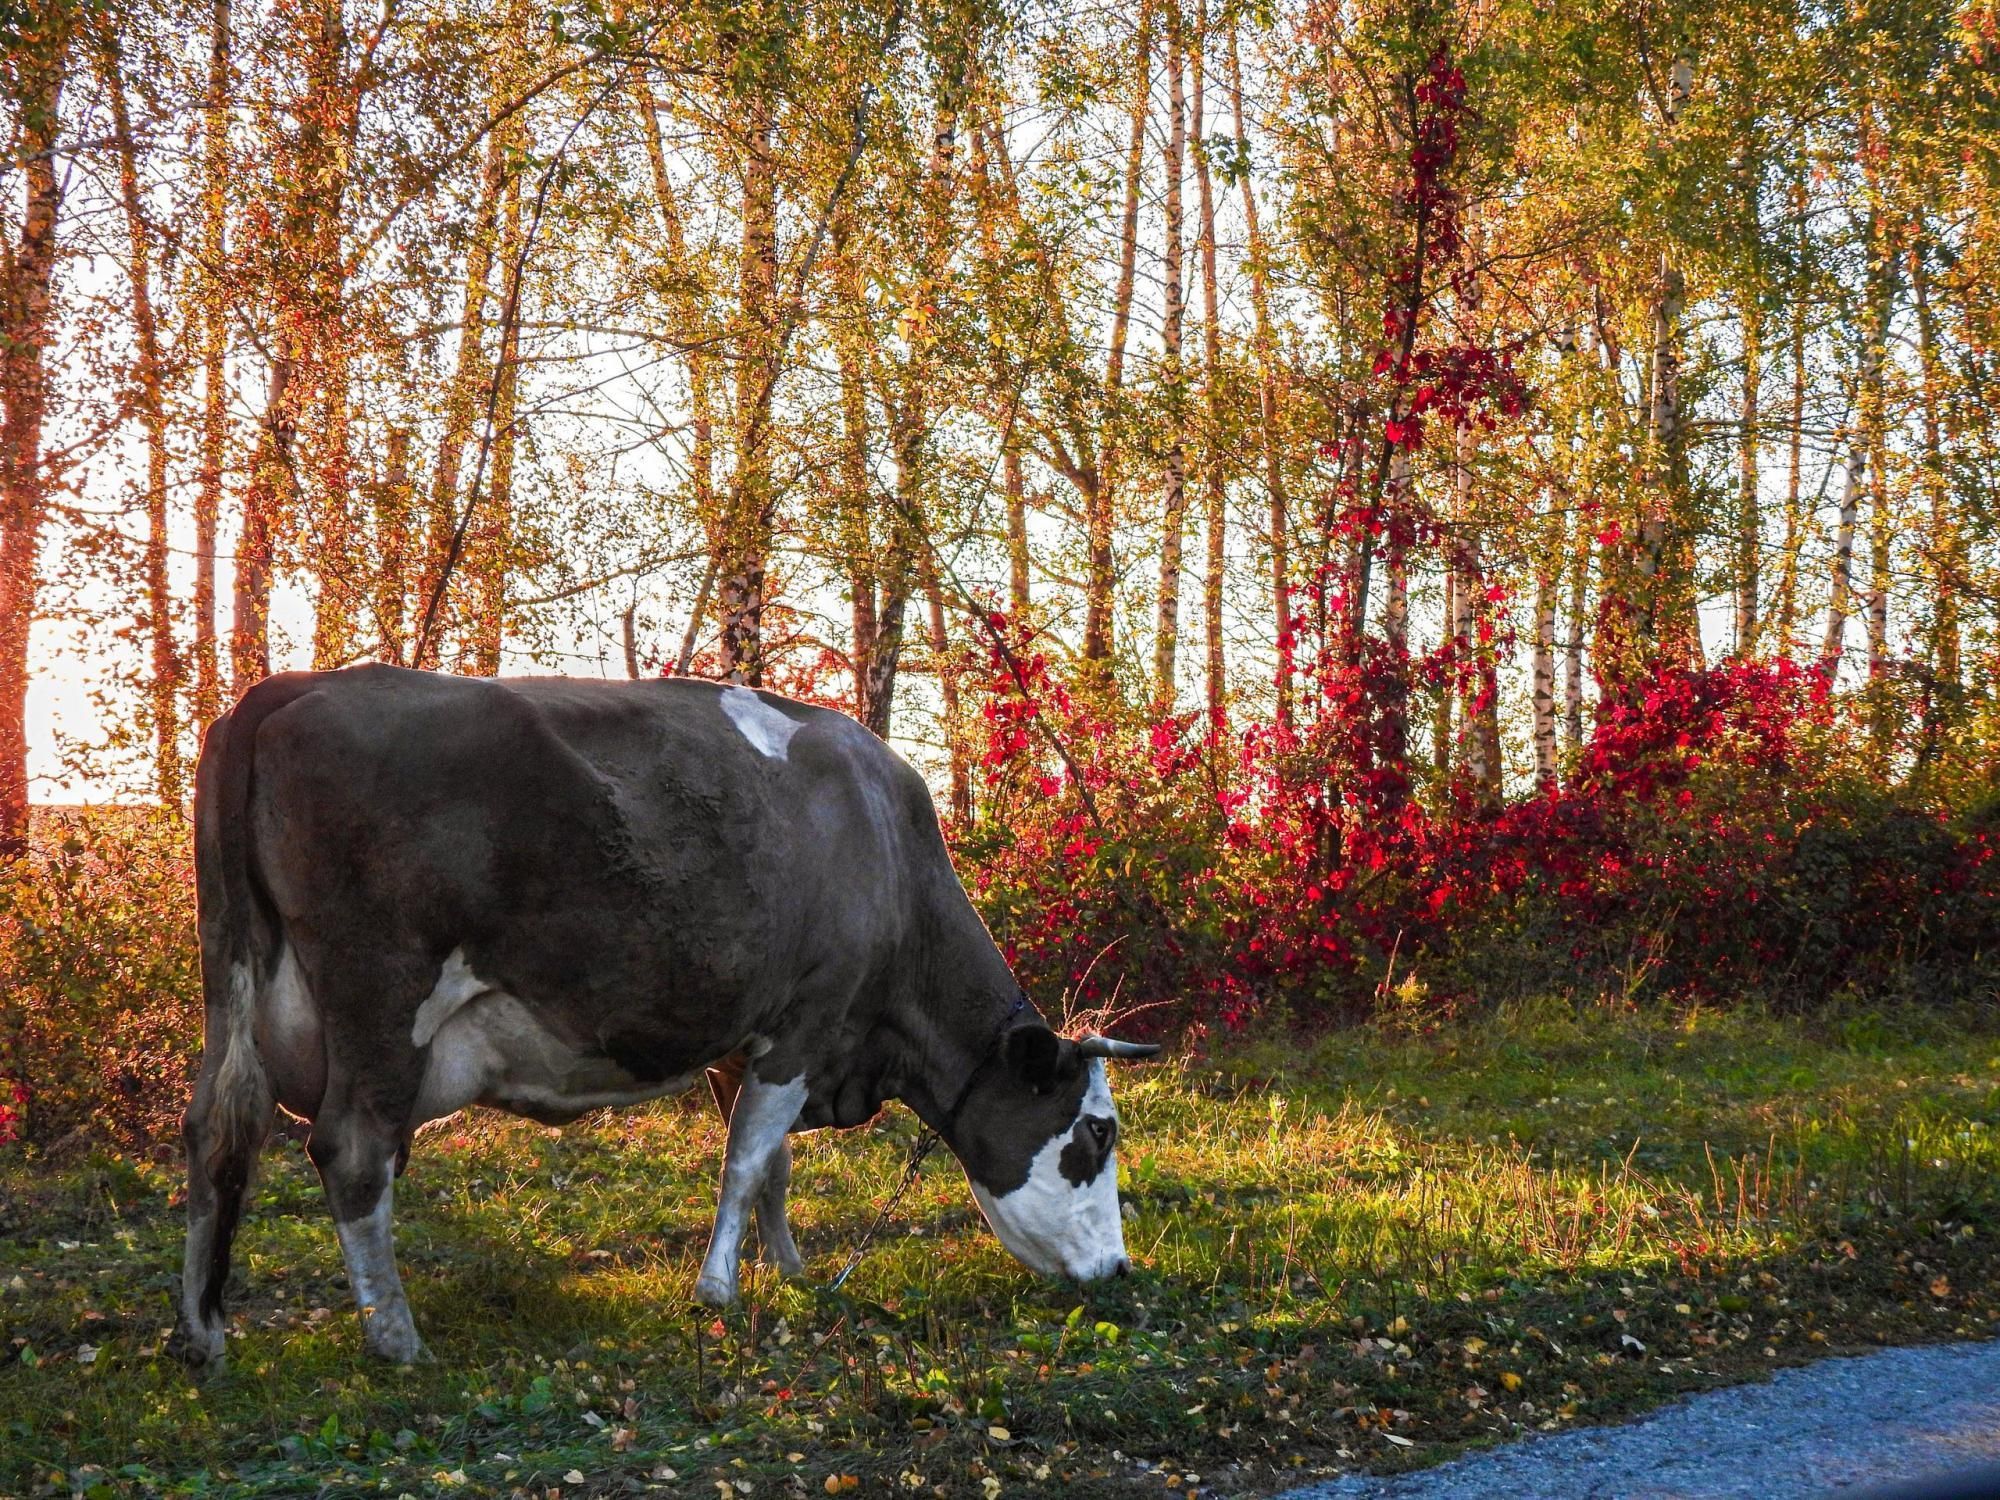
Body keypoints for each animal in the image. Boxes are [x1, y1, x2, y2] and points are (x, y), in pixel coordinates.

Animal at [178, 676, 1168, 1368]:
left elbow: (773, 1168)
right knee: (353, 1151)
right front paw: (718, 1289)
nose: (1120, 1271)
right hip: (384, 1003)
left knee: (217, 1130)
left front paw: (790, 1269)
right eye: (1096, 1133)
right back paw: (396, 1339)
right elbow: (745, 1163)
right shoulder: (807, 1019)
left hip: (232, 988)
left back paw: (203, 1331)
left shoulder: (752, 1038)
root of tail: (282, 691)